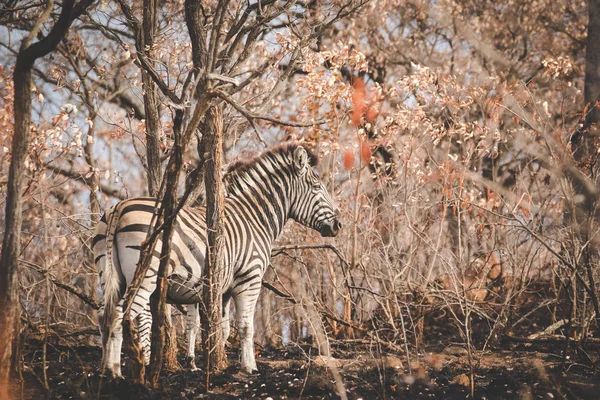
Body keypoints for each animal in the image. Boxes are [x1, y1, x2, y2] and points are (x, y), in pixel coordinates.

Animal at [91, 142, 340, 376]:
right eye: (317, 187)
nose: (338, 225)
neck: (254, 217)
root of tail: (119, 207)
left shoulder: (223, 288)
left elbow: (221, 328)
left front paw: (210, 363)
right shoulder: (249, 278)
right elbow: (245, 326)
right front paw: (248, 367)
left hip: (109, 273)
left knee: (104, 315)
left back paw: (104, 370)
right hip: (145, 275)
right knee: (121, 315)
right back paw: (118, 371)